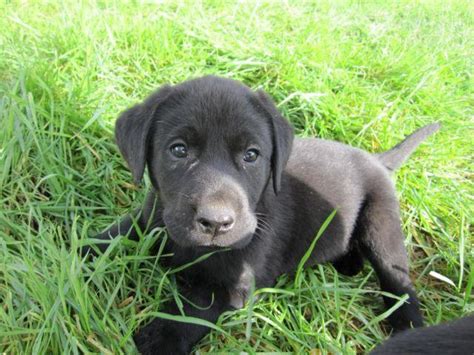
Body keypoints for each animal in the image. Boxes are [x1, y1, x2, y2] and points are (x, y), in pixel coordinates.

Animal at [86, 75, 440, 354]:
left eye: (251, 155)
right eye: (178, 150)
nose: (216, 223)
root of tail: (376, 159)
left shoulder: (232, 288)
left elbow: (190, 311)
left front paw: (160, 339)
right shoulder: (148, 221)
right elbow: (104, 239)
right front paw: (76, 253)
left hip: (382, 226)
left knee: (399, 285)